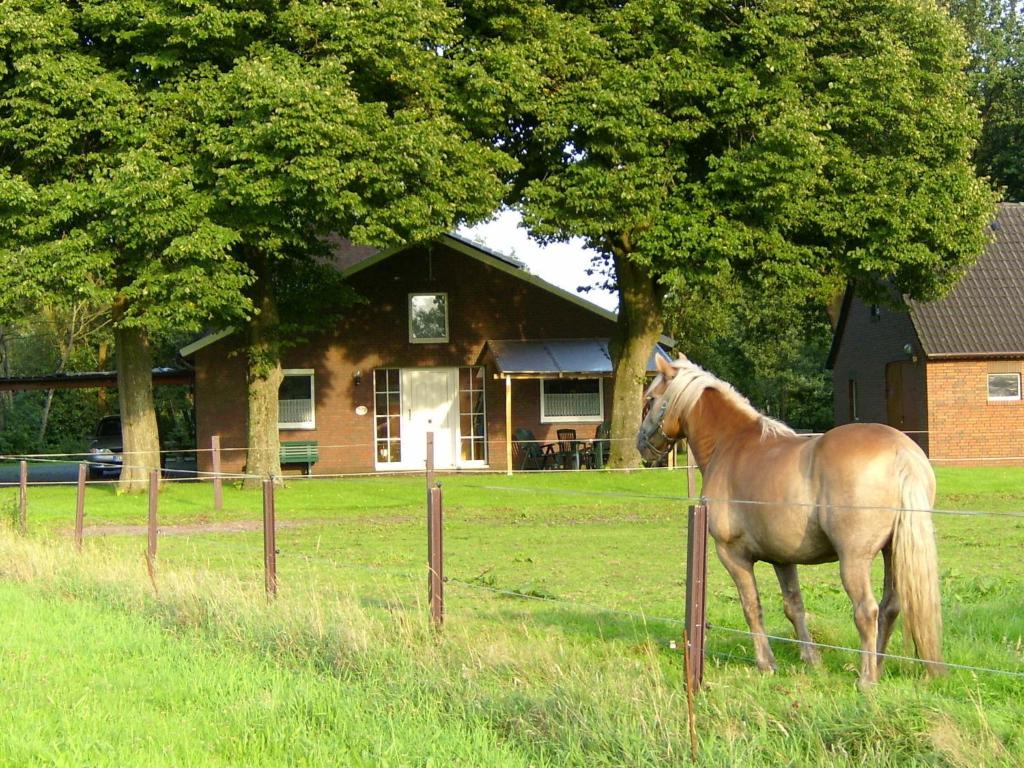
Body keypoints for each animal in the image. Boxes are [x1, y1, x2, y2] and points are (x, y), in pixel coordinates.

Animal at [638, 354, 942, 684]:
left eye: (650, 399)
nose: (641, 445)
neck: (729, 445)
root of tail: (901, 452)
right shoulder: (783, 559)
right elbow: (794, 606)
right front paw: (811, 659)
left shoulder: (732, 555)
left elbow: (752, 607)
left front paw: (766, 663)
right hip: (893, 552)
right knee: (890, 607)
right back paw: (878, 667)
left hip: (855, 559)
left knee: (867, 610)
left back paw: (866, 679)